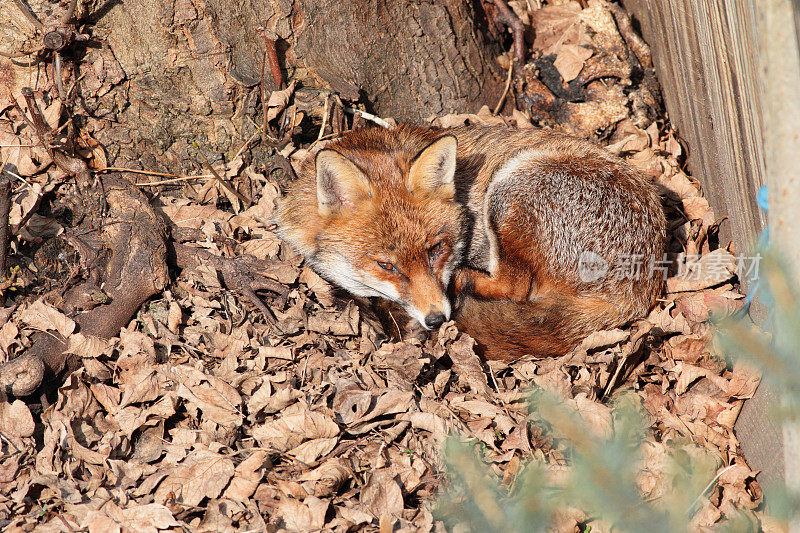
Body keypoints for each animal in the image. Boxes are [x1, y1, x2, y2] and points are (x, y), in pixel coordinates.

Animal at [276, 123, 668, 362]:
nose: (437, 318)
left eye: (435, 249)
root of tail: (640, 285)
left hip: (510, 189)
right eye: (386, 265)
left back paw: (465, 281)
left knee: (515, 286)